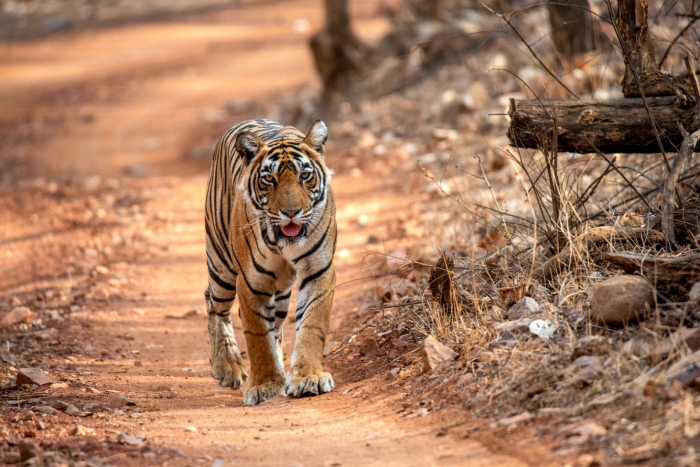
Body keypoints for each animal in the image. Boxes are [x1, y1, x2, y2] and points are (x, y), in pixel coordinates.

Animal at [202, 118, 336, 406]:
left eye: (304, 176)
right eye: (269, 179)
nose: (291, 212)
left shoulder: (319, 271)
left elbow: (312, 325)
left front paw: (309, 378)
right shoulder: (251, 282)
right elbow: (257, 338)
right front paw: (264, 385)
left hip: (282, 290)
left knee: (277, 327)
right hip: (221, 267)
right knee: (214, 305)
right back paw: (227, 367)